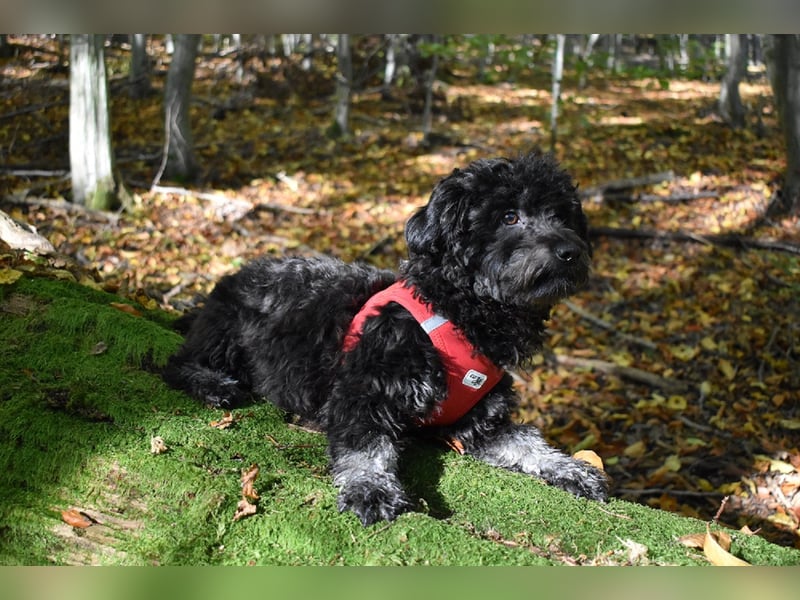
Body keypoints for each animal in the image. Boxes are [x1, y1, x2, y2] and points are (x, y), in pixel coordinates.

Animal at [162, 154, 608, 524]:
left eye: (561, 215)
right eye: (510, 216)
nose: (570, 251)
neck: (459, 312)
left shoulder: (481, 423)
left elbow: (528, 442)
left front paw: (571, 468)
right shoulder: (362, 394)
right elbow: (365, 449)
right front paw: (370, 489)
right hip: (227, 334)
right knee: (176, 364)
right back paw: (213, 384)